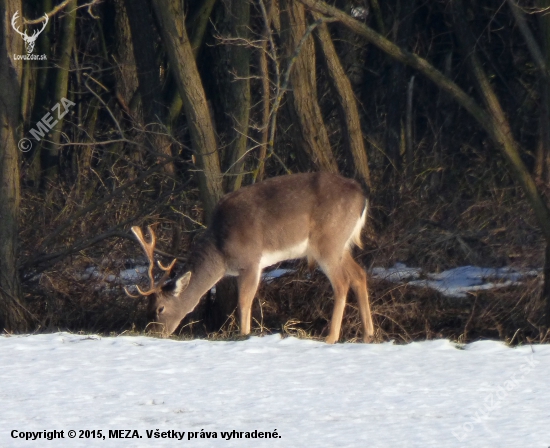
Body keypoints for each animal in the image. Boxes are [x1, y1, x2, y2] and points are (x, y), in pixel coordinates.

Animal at [125, 172, 376, 344]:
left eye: (160, 309)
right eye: (147, 306)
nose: (154, 333)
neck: (221, 252)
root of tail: (362, 197)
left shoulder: (250, 261)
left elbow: (244, 301)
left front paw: (243, 335)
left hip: (328, 241)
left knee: (342, 282)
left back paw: (331, 337)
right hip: (342, 245)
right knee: (359, 275)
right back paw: (368, 334)